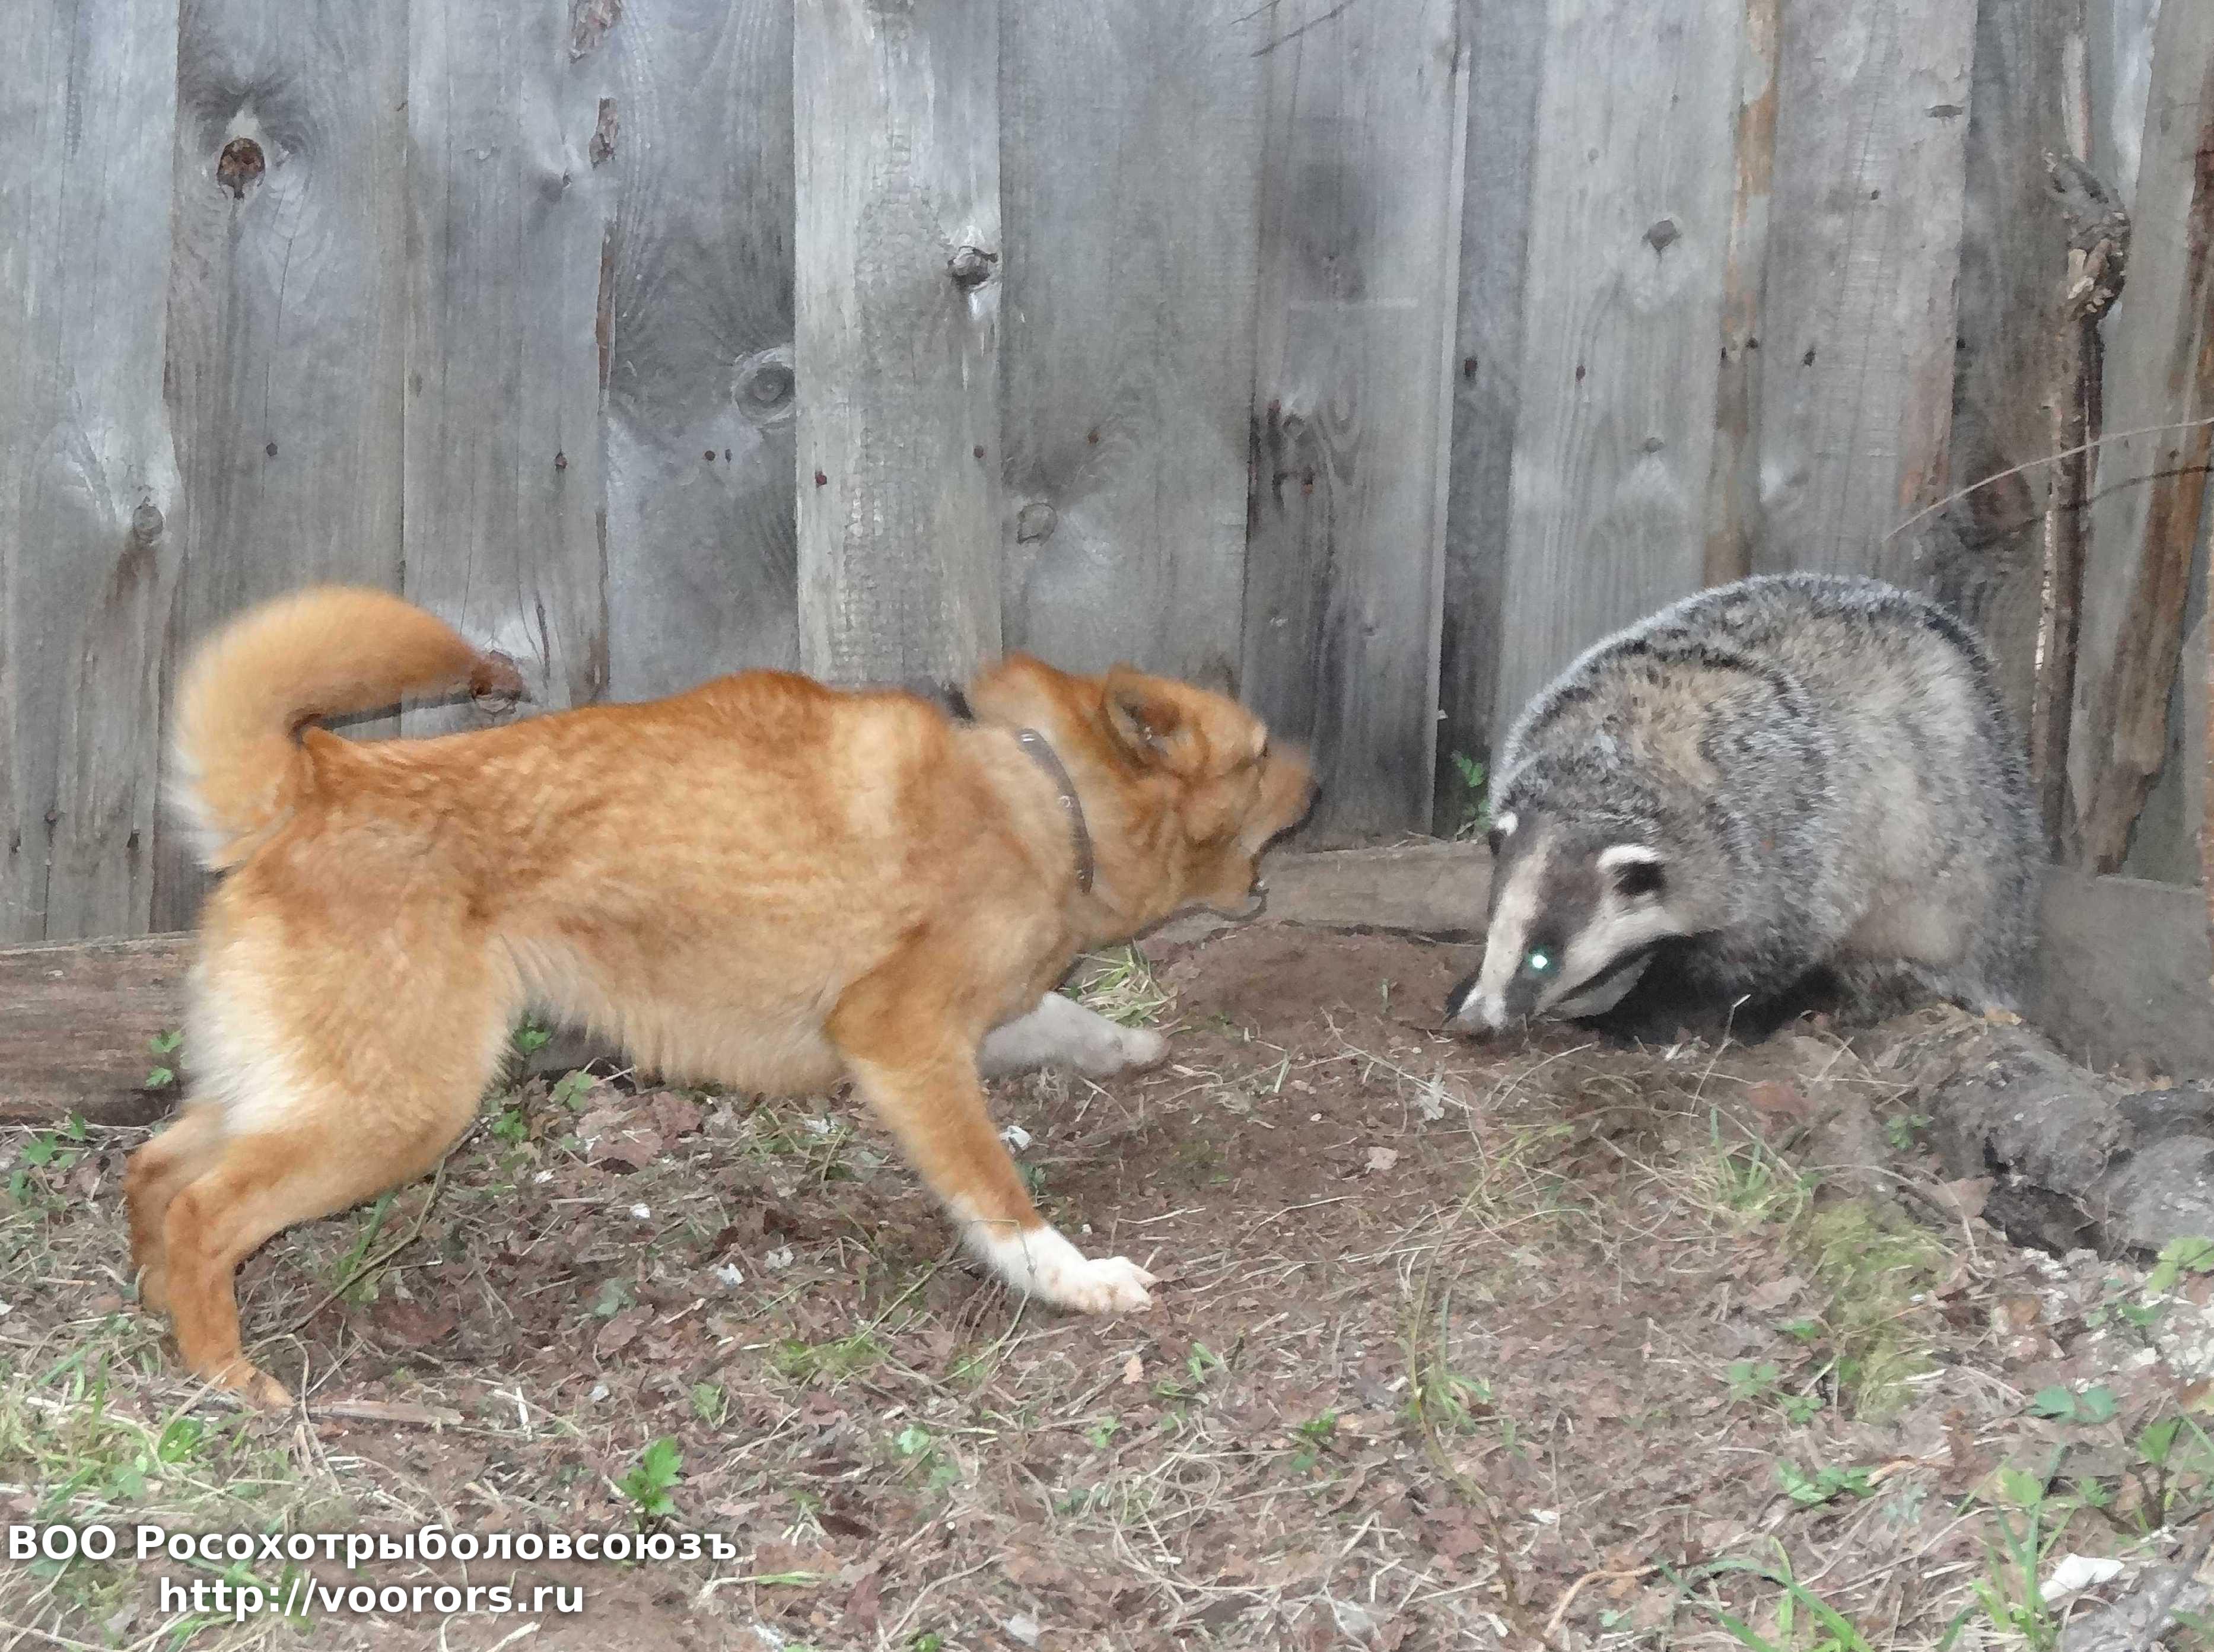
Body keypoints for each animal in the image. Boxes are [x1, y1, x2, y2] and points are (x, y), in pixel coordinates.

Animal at [127, 588, 1314, 1405]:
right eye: (1260, 754)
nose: (1323, 780)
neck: (1042, 790)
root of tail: (317, 781)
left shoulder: (965, 1022)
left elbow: (1060, 1019)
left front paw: (1127, 1047)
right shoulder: (900, 1037)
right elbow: (997, 1194)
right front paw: (1074, 1280)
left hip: (299, 1091)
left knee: (155, 1172)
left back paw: (157, 1313)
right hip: (399, 1112)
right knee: (204, 1210)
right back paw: (230, 1378)